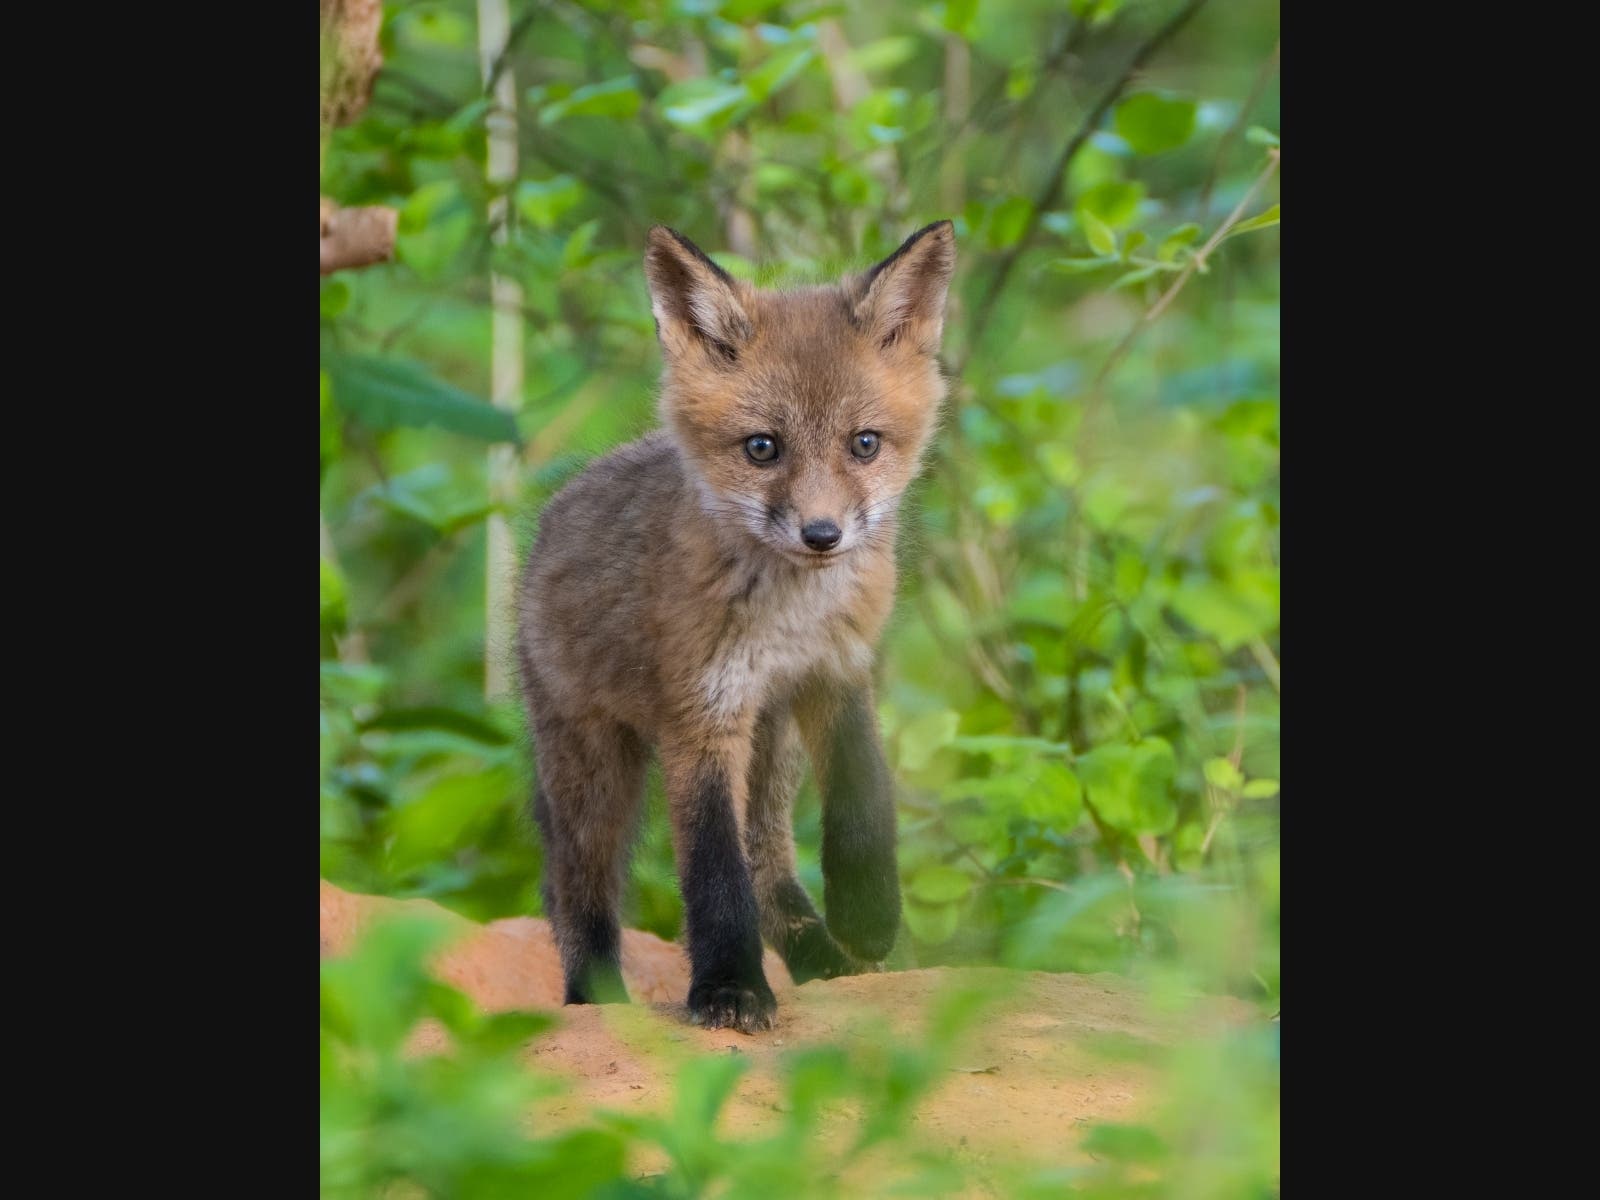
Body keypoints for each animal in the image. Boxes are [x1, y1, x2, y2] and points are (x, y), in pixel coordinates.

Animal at [514, 219, 957, 1033]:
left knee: (771, 863)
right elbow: (713, 872)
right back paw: (596, 1000)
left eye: (865, 444)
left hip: (773, 749)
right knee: (578, 890)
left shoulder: (839, 673)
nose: (823, 535)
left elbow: (864, 802)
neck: (792, 620)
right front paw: (729, 989)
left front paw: (869, 916)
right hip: (594, 771)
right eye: (762, 448)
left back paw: (821, 958)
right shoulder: (702, 716)